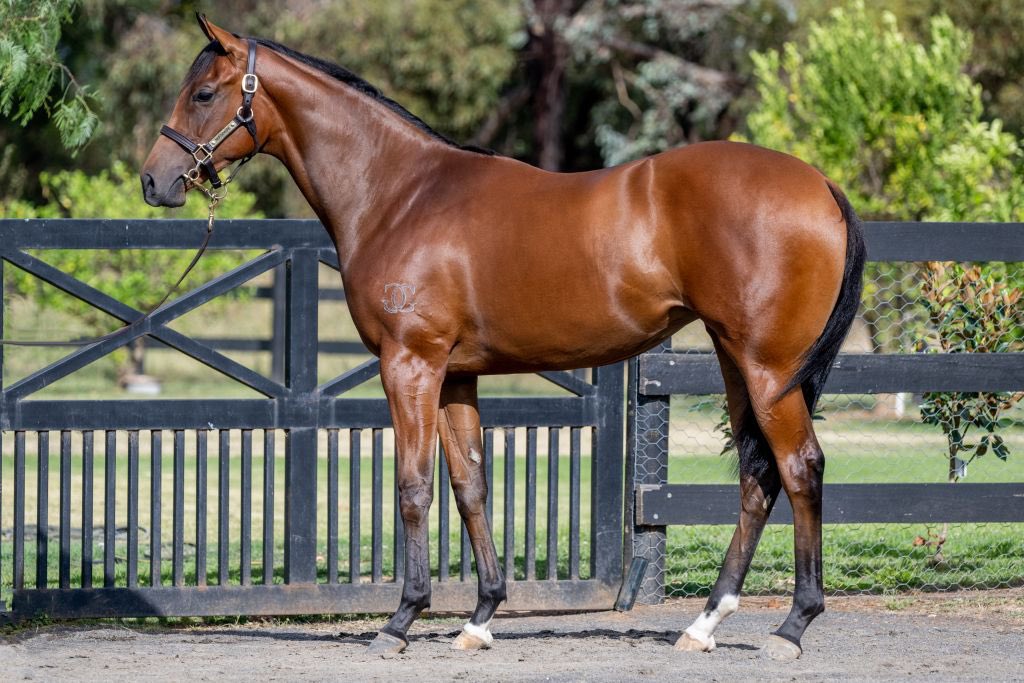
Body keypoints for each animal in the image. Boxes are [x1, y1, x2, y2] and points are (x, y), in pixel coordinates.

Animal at [142, 15, 864, 663]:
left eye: (203, 94)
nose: (154, 180)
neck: (401, 194)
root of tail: (821, 184)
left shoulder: (410, 364)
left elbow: (414, 486)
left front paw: (401, 620)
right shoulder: (455, 374)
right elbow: (471, 486)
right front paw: (481, 617)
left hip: (768, 368)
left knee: (800, 468)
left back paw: (791, 628)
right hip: (736, 360)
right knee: (756, 476)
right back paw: (704, 624)